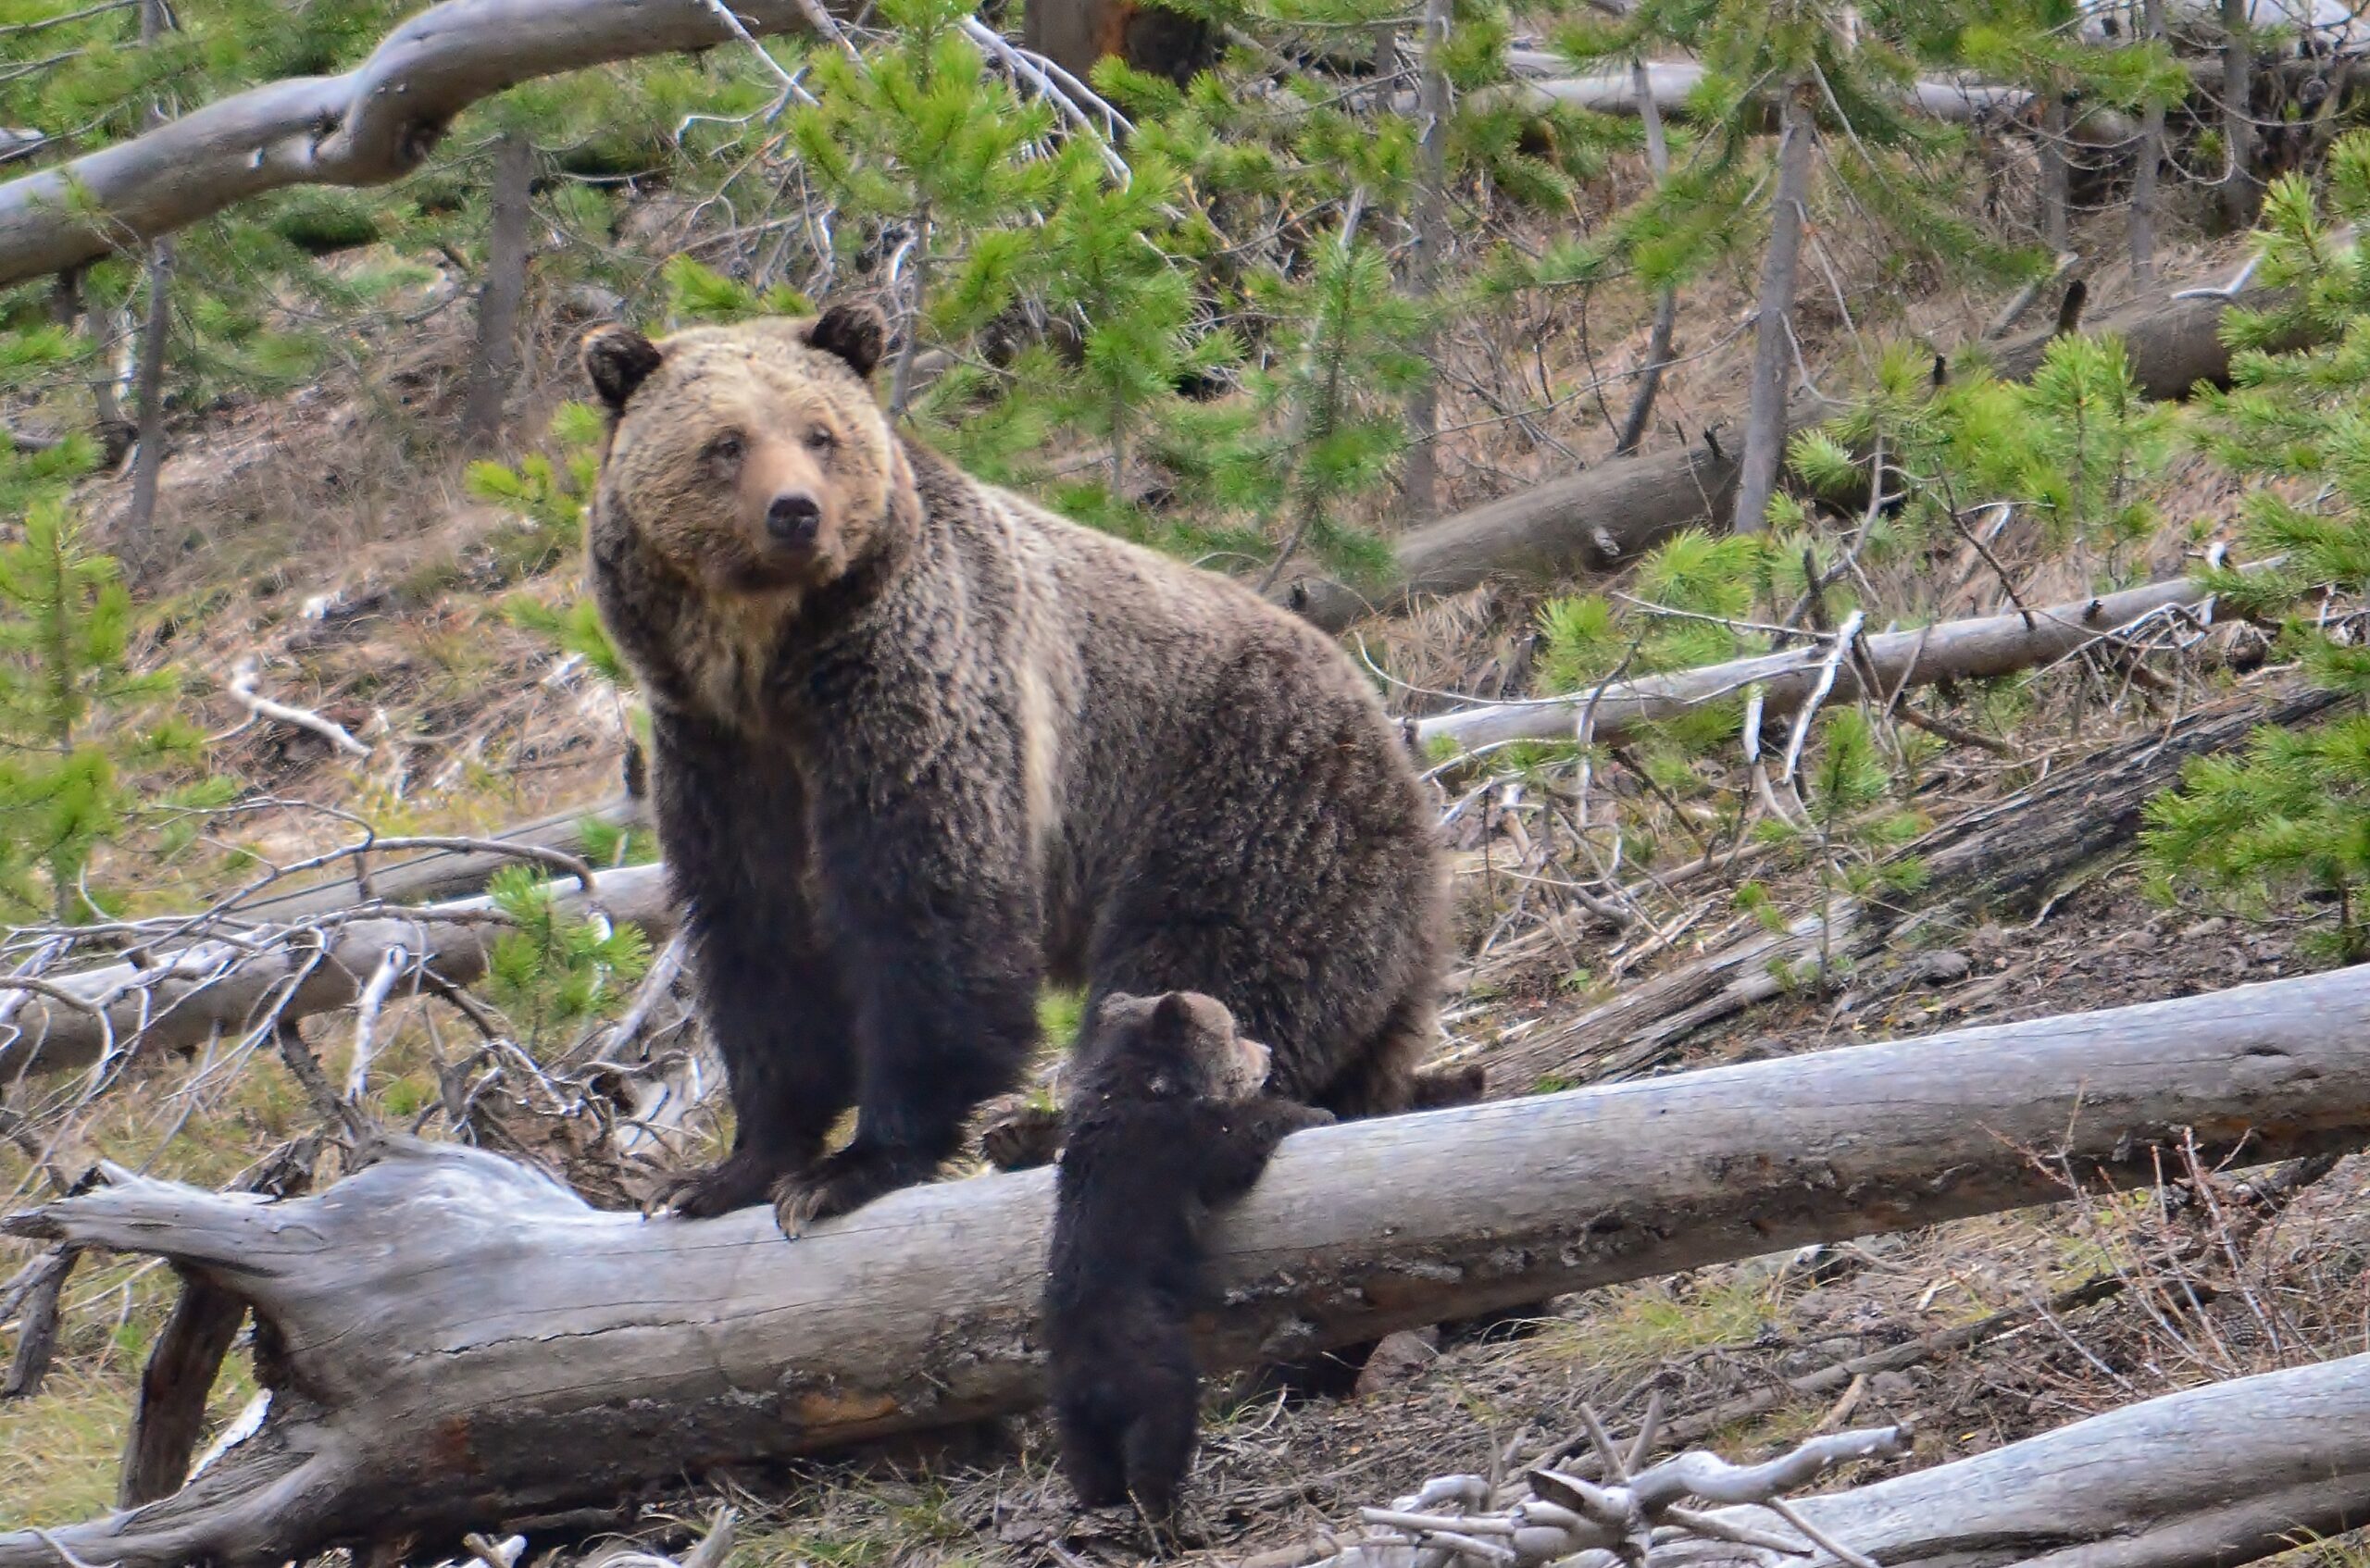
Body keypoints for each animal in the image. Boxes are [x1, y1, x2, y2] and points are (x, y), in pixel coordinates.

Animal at [578, 303, 1446, 1236]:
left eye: (819, 433)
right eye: (726, 441)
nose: (796, 513)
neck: (769, 666)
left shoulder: (918, 692)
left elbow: (929, 913)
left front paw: (856, 1164)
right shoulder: (719, 755)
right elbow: (759, 942)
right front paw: (727, 1171)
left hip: (1249, 797)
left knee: (1209, 967)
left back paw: (1055, 1126)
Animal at [1044, 989, 1333, 1526]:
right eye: (1235, 1030)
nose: (1267, 1051)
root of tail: (1089, 1377)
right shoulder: (1178, 1142)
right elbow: (1236, 1145)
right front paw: (1313, 1111)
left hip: (1069, 1408)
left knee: (1087, 1460)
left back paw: (1102, 1499)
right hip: (1152, 1366)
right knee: (1161, 1431)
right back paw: (1167, 1511)